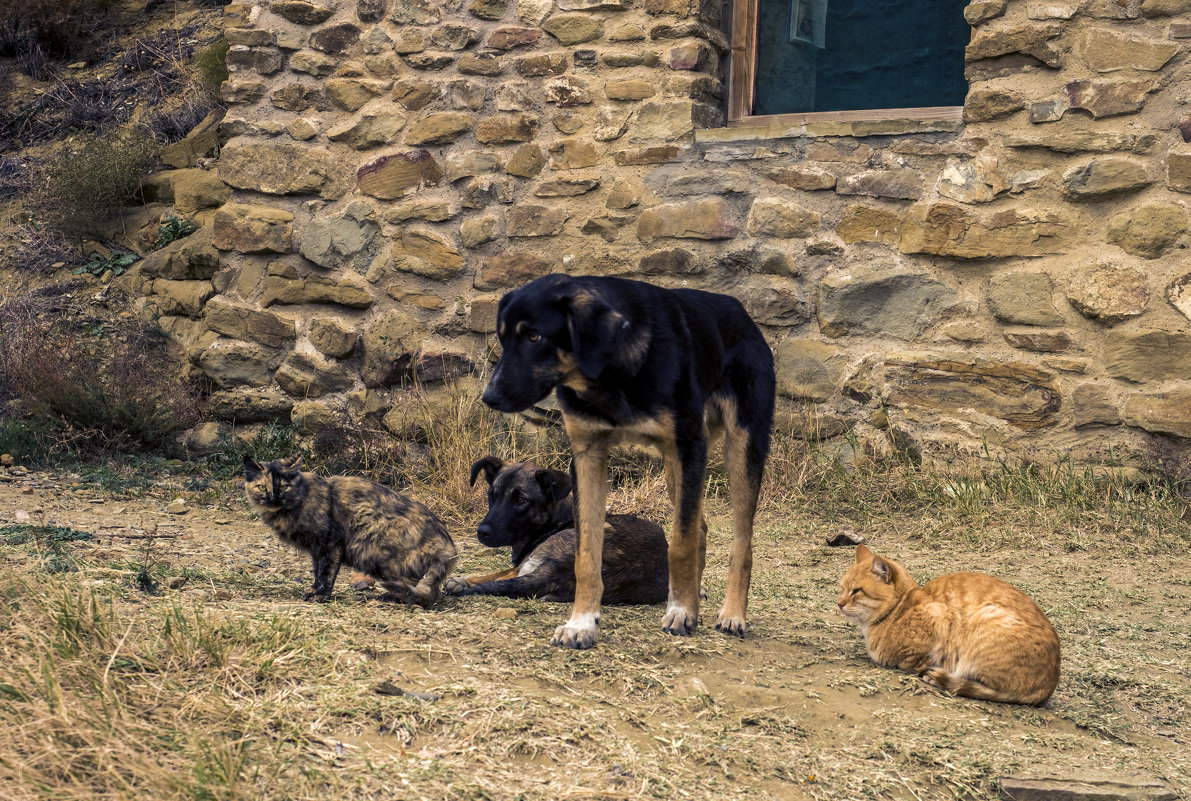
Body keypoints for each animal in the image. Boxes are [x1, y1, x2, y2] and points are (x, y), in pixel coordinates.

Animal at [244, 452, 457, 602]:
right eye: (262, 487)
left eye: (284, 486)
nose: (273, 498)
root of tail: (450, 549)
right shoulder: (316, 550)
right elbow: (317, 571)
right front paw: (314, 589)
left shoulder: (330, 544)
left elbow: (326, 573)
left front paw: (321, 595)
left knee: (425, 592)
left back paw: (392, 597)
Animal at [443, 452, 671, 602]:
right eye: (492, 495)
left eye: (520, 500)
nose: (482, 532)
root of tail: (557, 571)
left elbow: (494, 575)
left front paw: (464, 580)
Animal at [478, 271, 776, 647]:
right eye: (503, 339)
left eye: (534, 336)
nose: (488, 397)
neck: (611, 372)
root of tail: (741, 311)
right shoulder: (587, 456)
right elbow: (586, 553)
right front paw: (582, 622)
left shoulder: (689, 446)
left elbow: (680, 544)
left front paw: (682, 612)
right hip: (674, 467)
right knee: (701, 526)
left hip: (739, 447)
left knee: (741, 541)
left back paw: (731, 613)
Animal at [838, 542, 1062, 704]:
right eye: (841, 588)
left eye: (856, 591)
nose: (839, 603)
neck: (900, 608)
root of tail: (1049, 685)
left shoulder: (939, 621)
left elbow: (912, 661)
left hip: (985, 618)